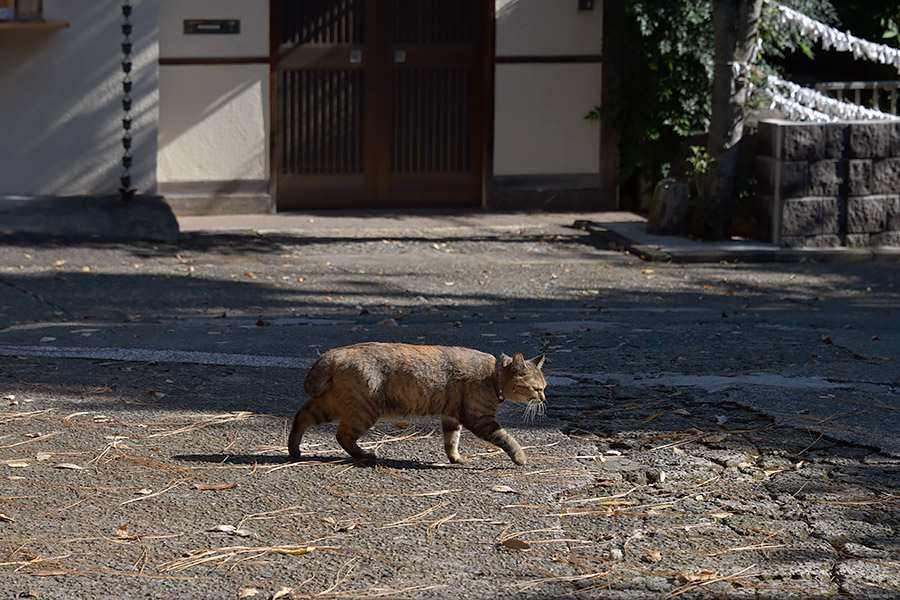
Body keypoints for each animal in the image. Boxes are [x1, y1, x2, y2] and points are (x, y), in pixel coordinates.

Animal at [288, 342, 544, 464]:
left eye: (544, 387)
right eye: (537, 388)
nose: (543, 398)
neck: (494, 376)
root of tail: (336, 352)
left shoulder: (451, 417)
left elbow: (451, 441)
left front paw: (455, 458)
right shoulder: (479, 418)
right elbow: (506, 438)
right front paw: (520, 457)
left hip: (333, 404)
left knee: (302, 416)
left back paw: (294, 450)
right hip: (364, 410)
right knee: (342, 435)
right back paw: (364, 455)